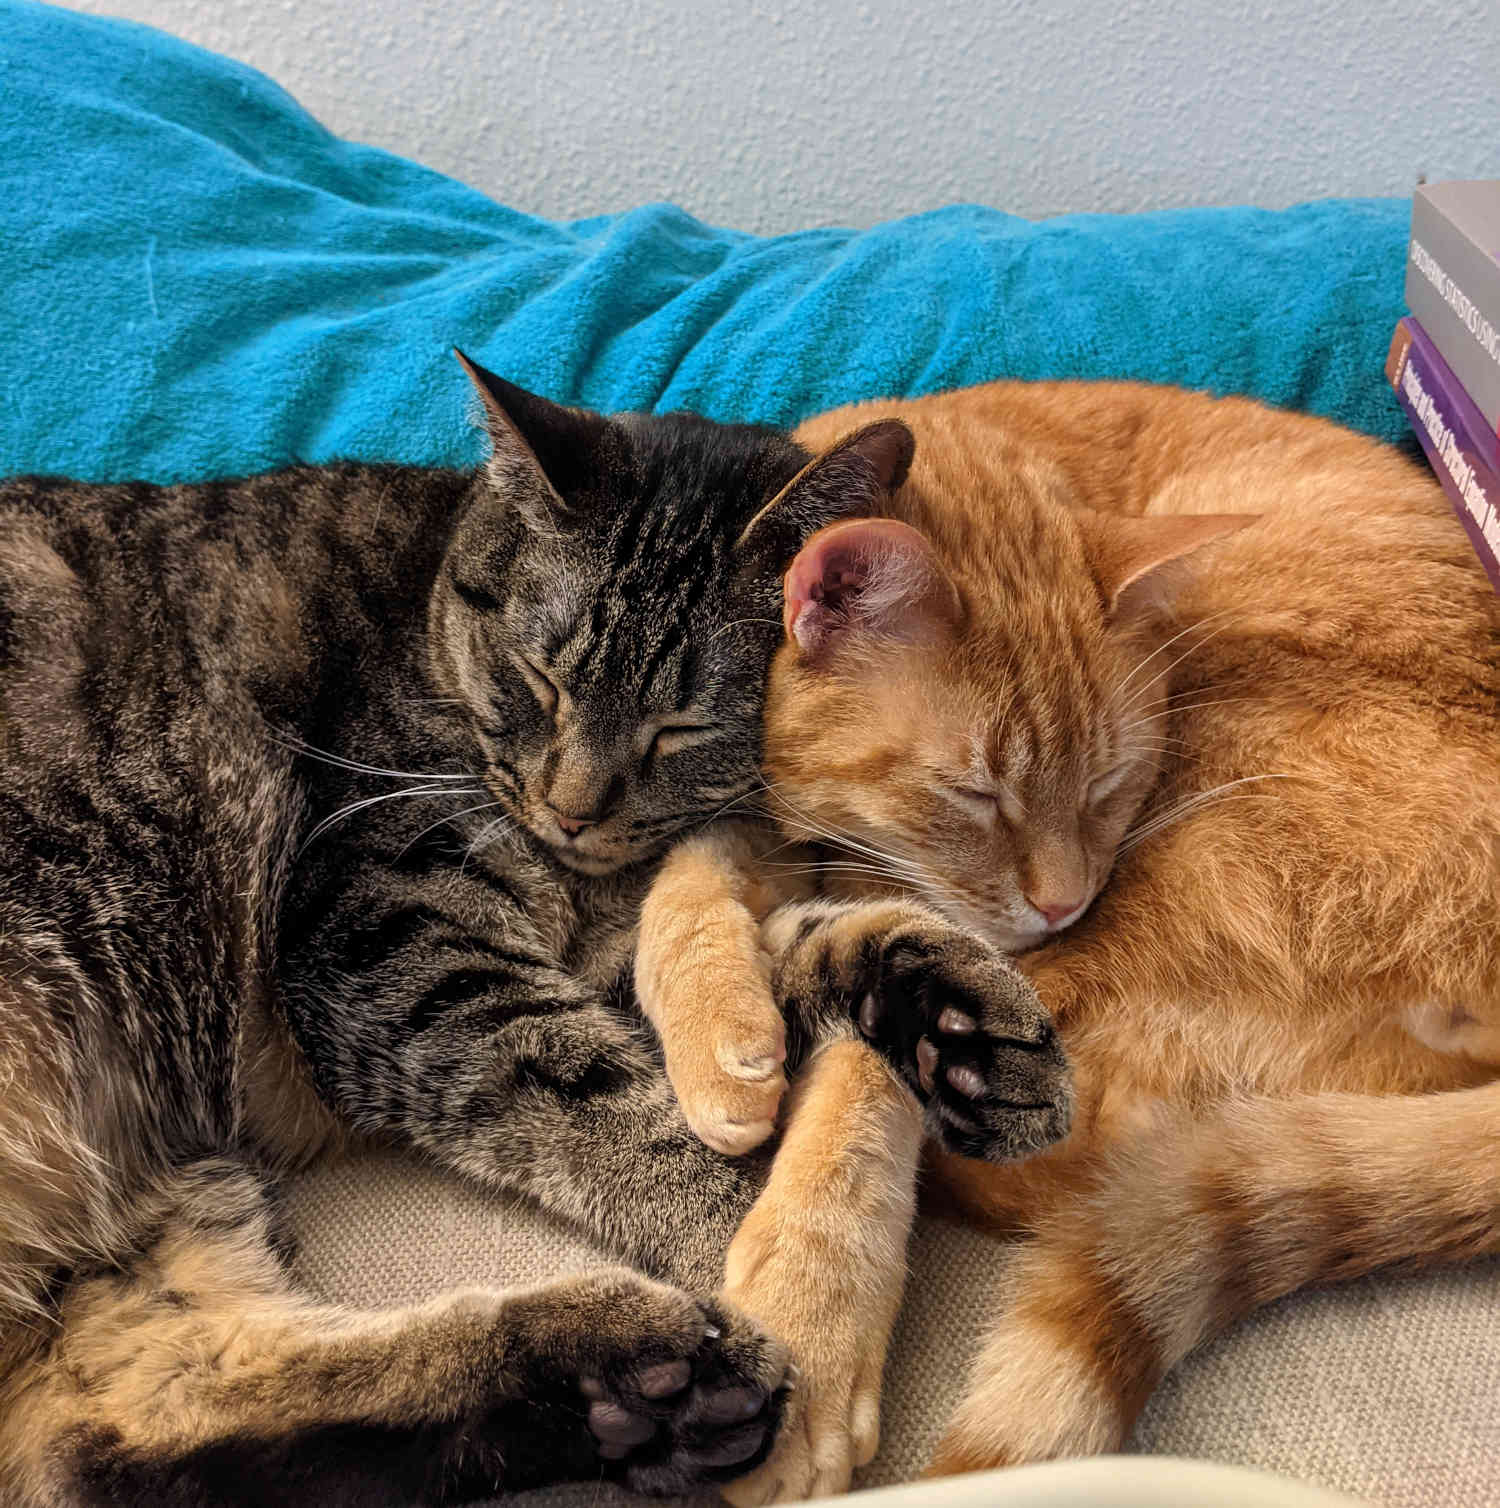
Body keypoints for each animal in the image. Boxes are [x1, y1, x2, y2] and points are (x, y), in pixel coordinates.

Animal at [0, 355, 1073, 1508]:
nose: (572, 809)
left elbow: (767, 952)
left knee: (147, 1433)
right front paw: (779, 1275)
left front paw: (952, 1019)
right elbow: (609, 1105)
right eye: (540, 678)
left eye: (681, 725)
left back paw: (635, 1386)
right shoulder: (392, 943)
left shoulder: (590, 944)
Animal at [639, 377, 1500, 1495]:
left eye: (1108, 784)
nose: (1061, 901)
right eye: (974, 793)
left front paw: (807, 1320)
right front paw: (719, 1037)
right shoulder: (764, 824)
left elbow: (868, 1065)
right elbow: (684, 882)